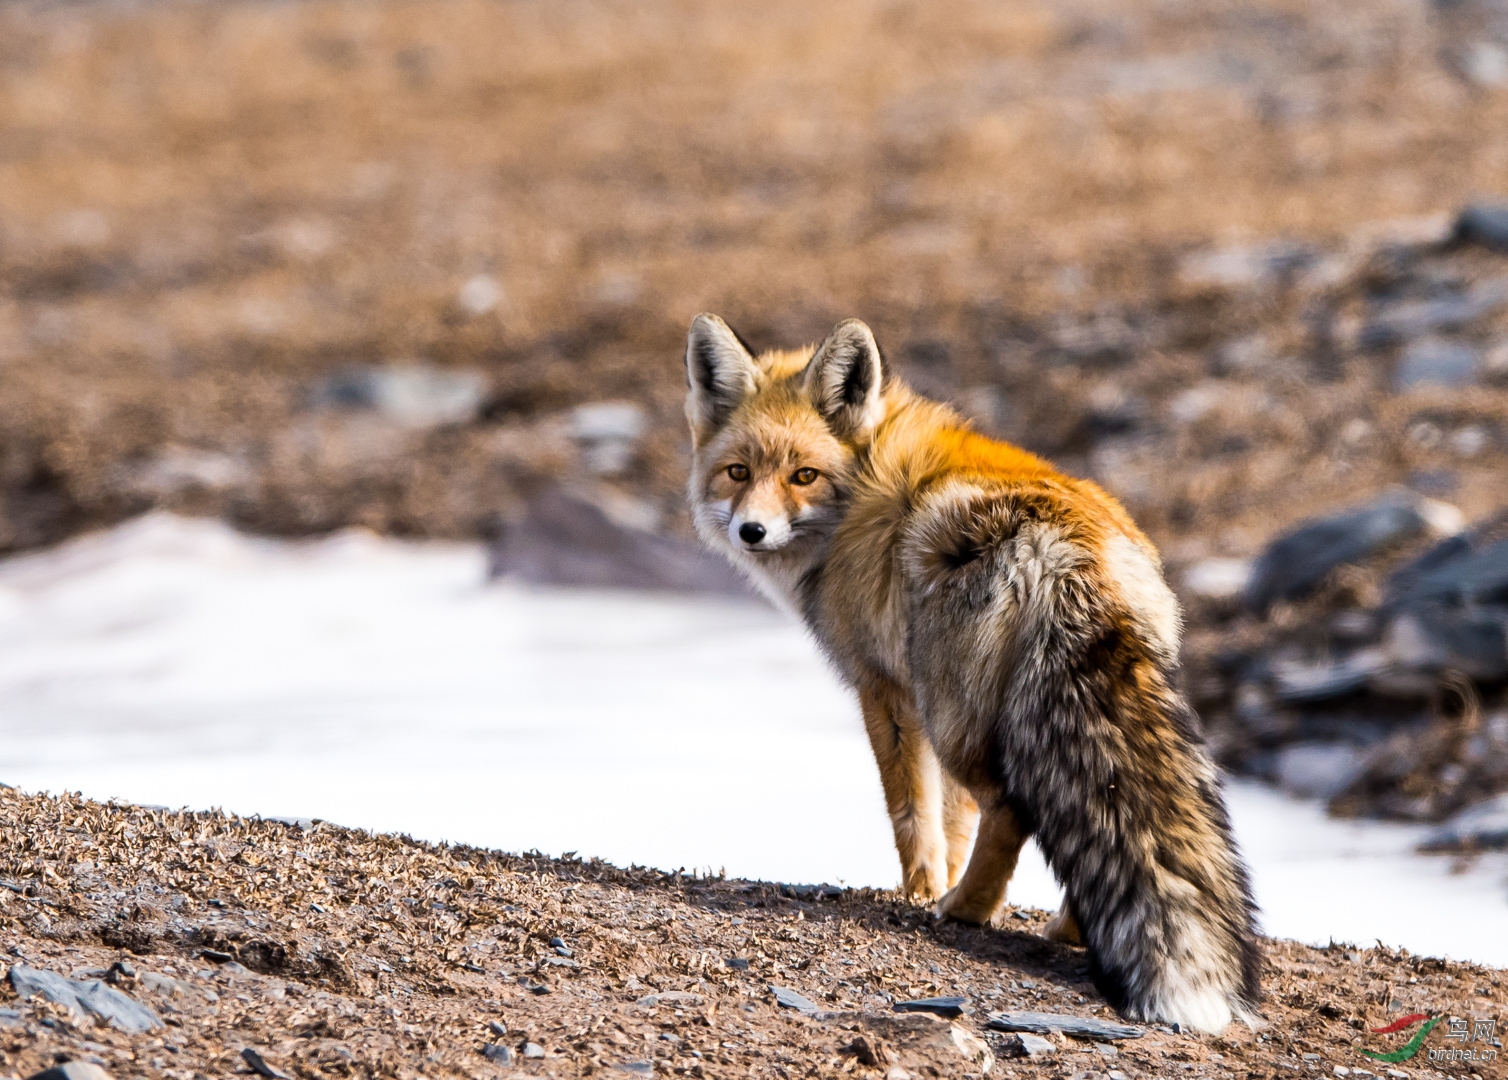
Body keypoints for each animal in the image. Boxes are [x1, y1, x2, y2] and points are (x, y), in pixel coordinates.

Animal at [684, 312, 1260, 1031]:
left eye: (803, 475)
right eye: (737, 472)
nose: (752, 532)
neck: (860, 478)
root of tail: (1067, 547)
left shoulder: (884, 688)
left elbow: (911, 811)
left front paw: (921, 887)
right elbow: (954, 821)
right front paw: (943, 875)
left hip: (951, 711)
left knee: (1012, 809)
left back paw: (963, 910)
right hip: (985, 708)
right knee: (1086, 815)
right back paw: (1065, 929)